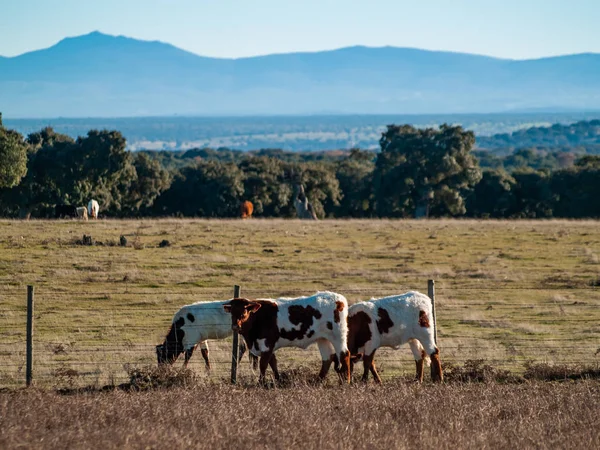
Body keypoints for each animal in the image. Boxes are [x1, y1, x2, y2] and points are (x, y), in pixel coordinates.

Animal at [224, 292, 352, 384]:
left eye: (244, 311)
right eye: (232, 312)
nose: (235, 326)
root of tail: (338, 298)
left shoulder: (266, 345)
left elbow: (263, 365)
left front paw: (261, 383)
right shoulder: (268, 346)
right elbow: (273, 363)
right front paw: (278, 380)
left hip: (338, 336)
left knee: (344, 354)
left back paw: (346, 381)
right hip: (322, 338)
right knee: (328, 358)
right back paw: (318, 380)